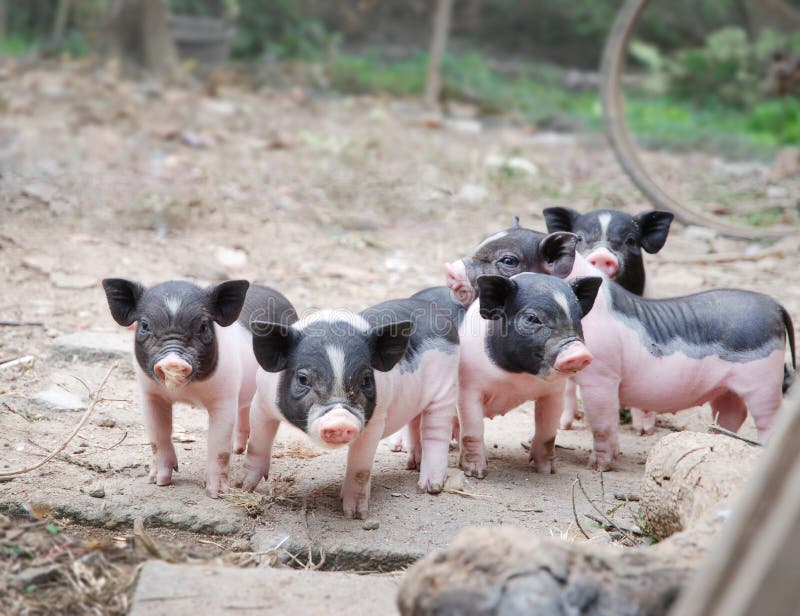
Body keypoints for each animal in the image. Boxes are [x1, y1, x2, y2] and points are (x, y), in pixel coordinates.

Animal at [102, 278, 297, 497]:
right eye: (144, 325)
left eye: (203, 326)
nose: (173, 360)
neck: (188, 392)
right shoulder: (150, 394)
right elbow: (158, 437)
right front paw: (158, 482)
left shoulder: (225, 396)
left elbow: (219, 447)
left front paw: (216, 493)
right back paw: (238, 450)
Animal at [236, 296, 460, 519]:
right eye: (303, 379)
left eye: (366, 380)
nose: (340, 420)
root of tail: (438, 314)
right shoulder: (262, 401)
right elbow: (257, 443)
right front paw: (243, 486)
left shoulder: (376, 420)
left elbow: (360, 468)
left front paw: (355, 515)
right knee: (415, 423)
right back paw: (412, 464)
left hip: (446, 390)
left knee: (436, 433)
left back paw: (430, 487)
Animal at [456, 273, 601, 478]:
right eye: (532, 318)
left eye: (579, 318)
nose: (579, 353)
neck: (517, 379)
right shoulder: (468, 387)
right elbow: (472, 431)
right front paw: (476, 474)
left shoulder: (554, 393)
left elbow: (547, 433)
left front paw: (547, 471)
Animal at [567, 252, 797, 470]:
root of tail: (775, 305)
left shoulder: (602, 375)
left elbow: (602, 424)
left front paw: (597, 467)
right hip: (726, 387)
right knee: (734, 412)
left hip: (763, 382)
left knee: (769, 419)